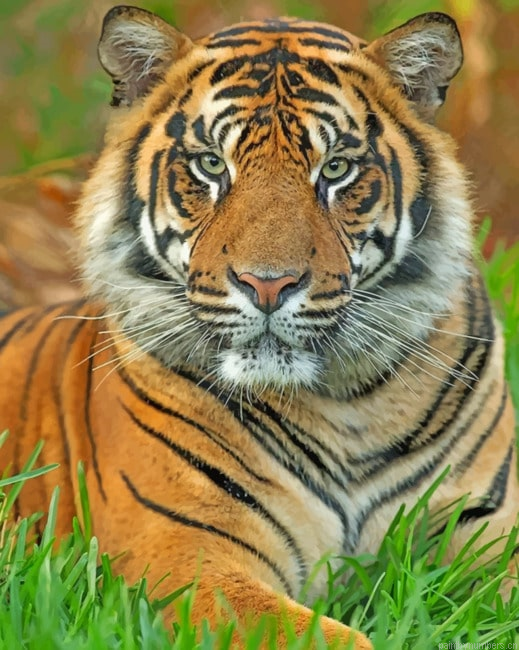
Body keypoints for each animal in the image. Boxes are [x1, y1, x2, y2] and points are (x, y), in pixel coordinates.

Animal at [1, 5, 517, 648]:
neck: (351, 406)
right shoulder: (188, 554)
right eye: (211, 164)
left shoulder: (487, 531)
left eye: (336, 169)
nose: (268, 285)